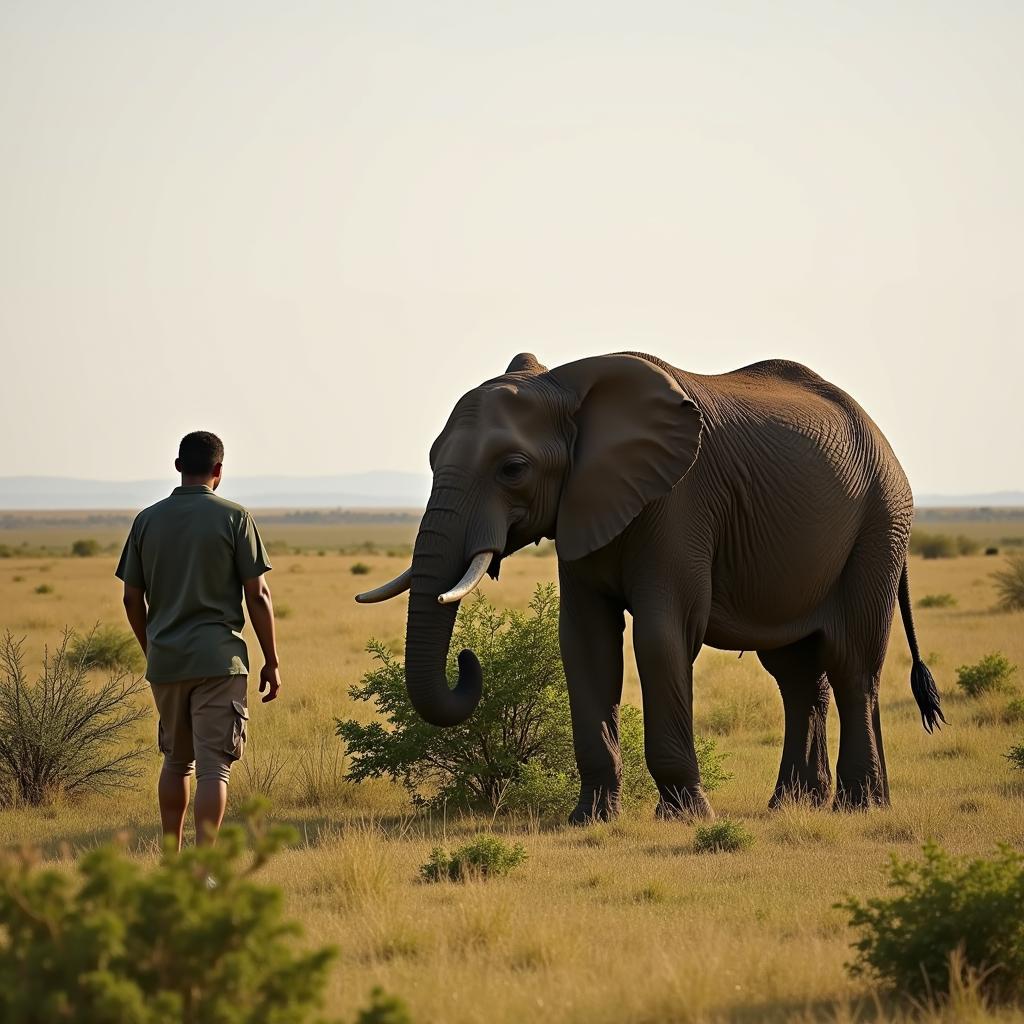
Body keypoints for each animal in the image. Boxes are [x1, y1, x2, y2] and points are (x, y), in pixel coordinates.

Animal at [358, 352, 942, 823]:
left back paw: (860, 806)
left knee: (852, 663)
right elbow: (585, 642)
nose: (467, 660)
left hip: (879, 524)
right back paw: (793, 805)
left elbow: (661, 638)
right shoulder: (584, 506)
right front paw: (590, 819)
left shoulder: (680, 500)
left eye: (513, 468)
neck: (569, 387)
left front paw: (685, 816)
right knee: (796, 674)